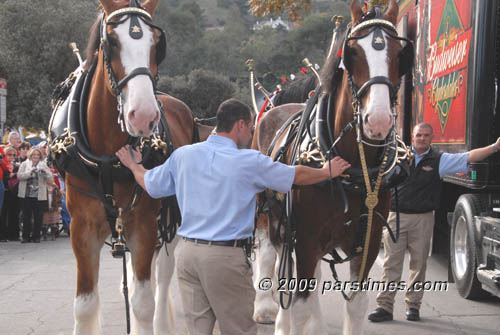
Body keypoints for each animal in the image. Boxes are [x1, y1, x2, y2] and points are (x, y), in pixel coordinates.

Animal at [48, 1, 193, 334]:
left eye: (157, 43)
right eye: (112, 42)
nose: (144, 115)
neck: (105, 159)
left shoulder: (144, 225)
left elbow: (142, 303)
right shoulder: (81, 228)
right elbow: (85, 306)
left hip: (170, 219)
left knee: (161, 278)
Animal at [252, 1, 412, 334]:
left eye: (399, 54)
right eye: (352, 53)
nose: (378, 120)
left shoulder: (368, 241)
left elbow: (357, 304)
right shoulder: (306, 237)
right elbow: (298, 300)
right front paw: (290, 321)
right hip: (272, 217)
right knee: (274, 259)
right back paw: (269, 313)